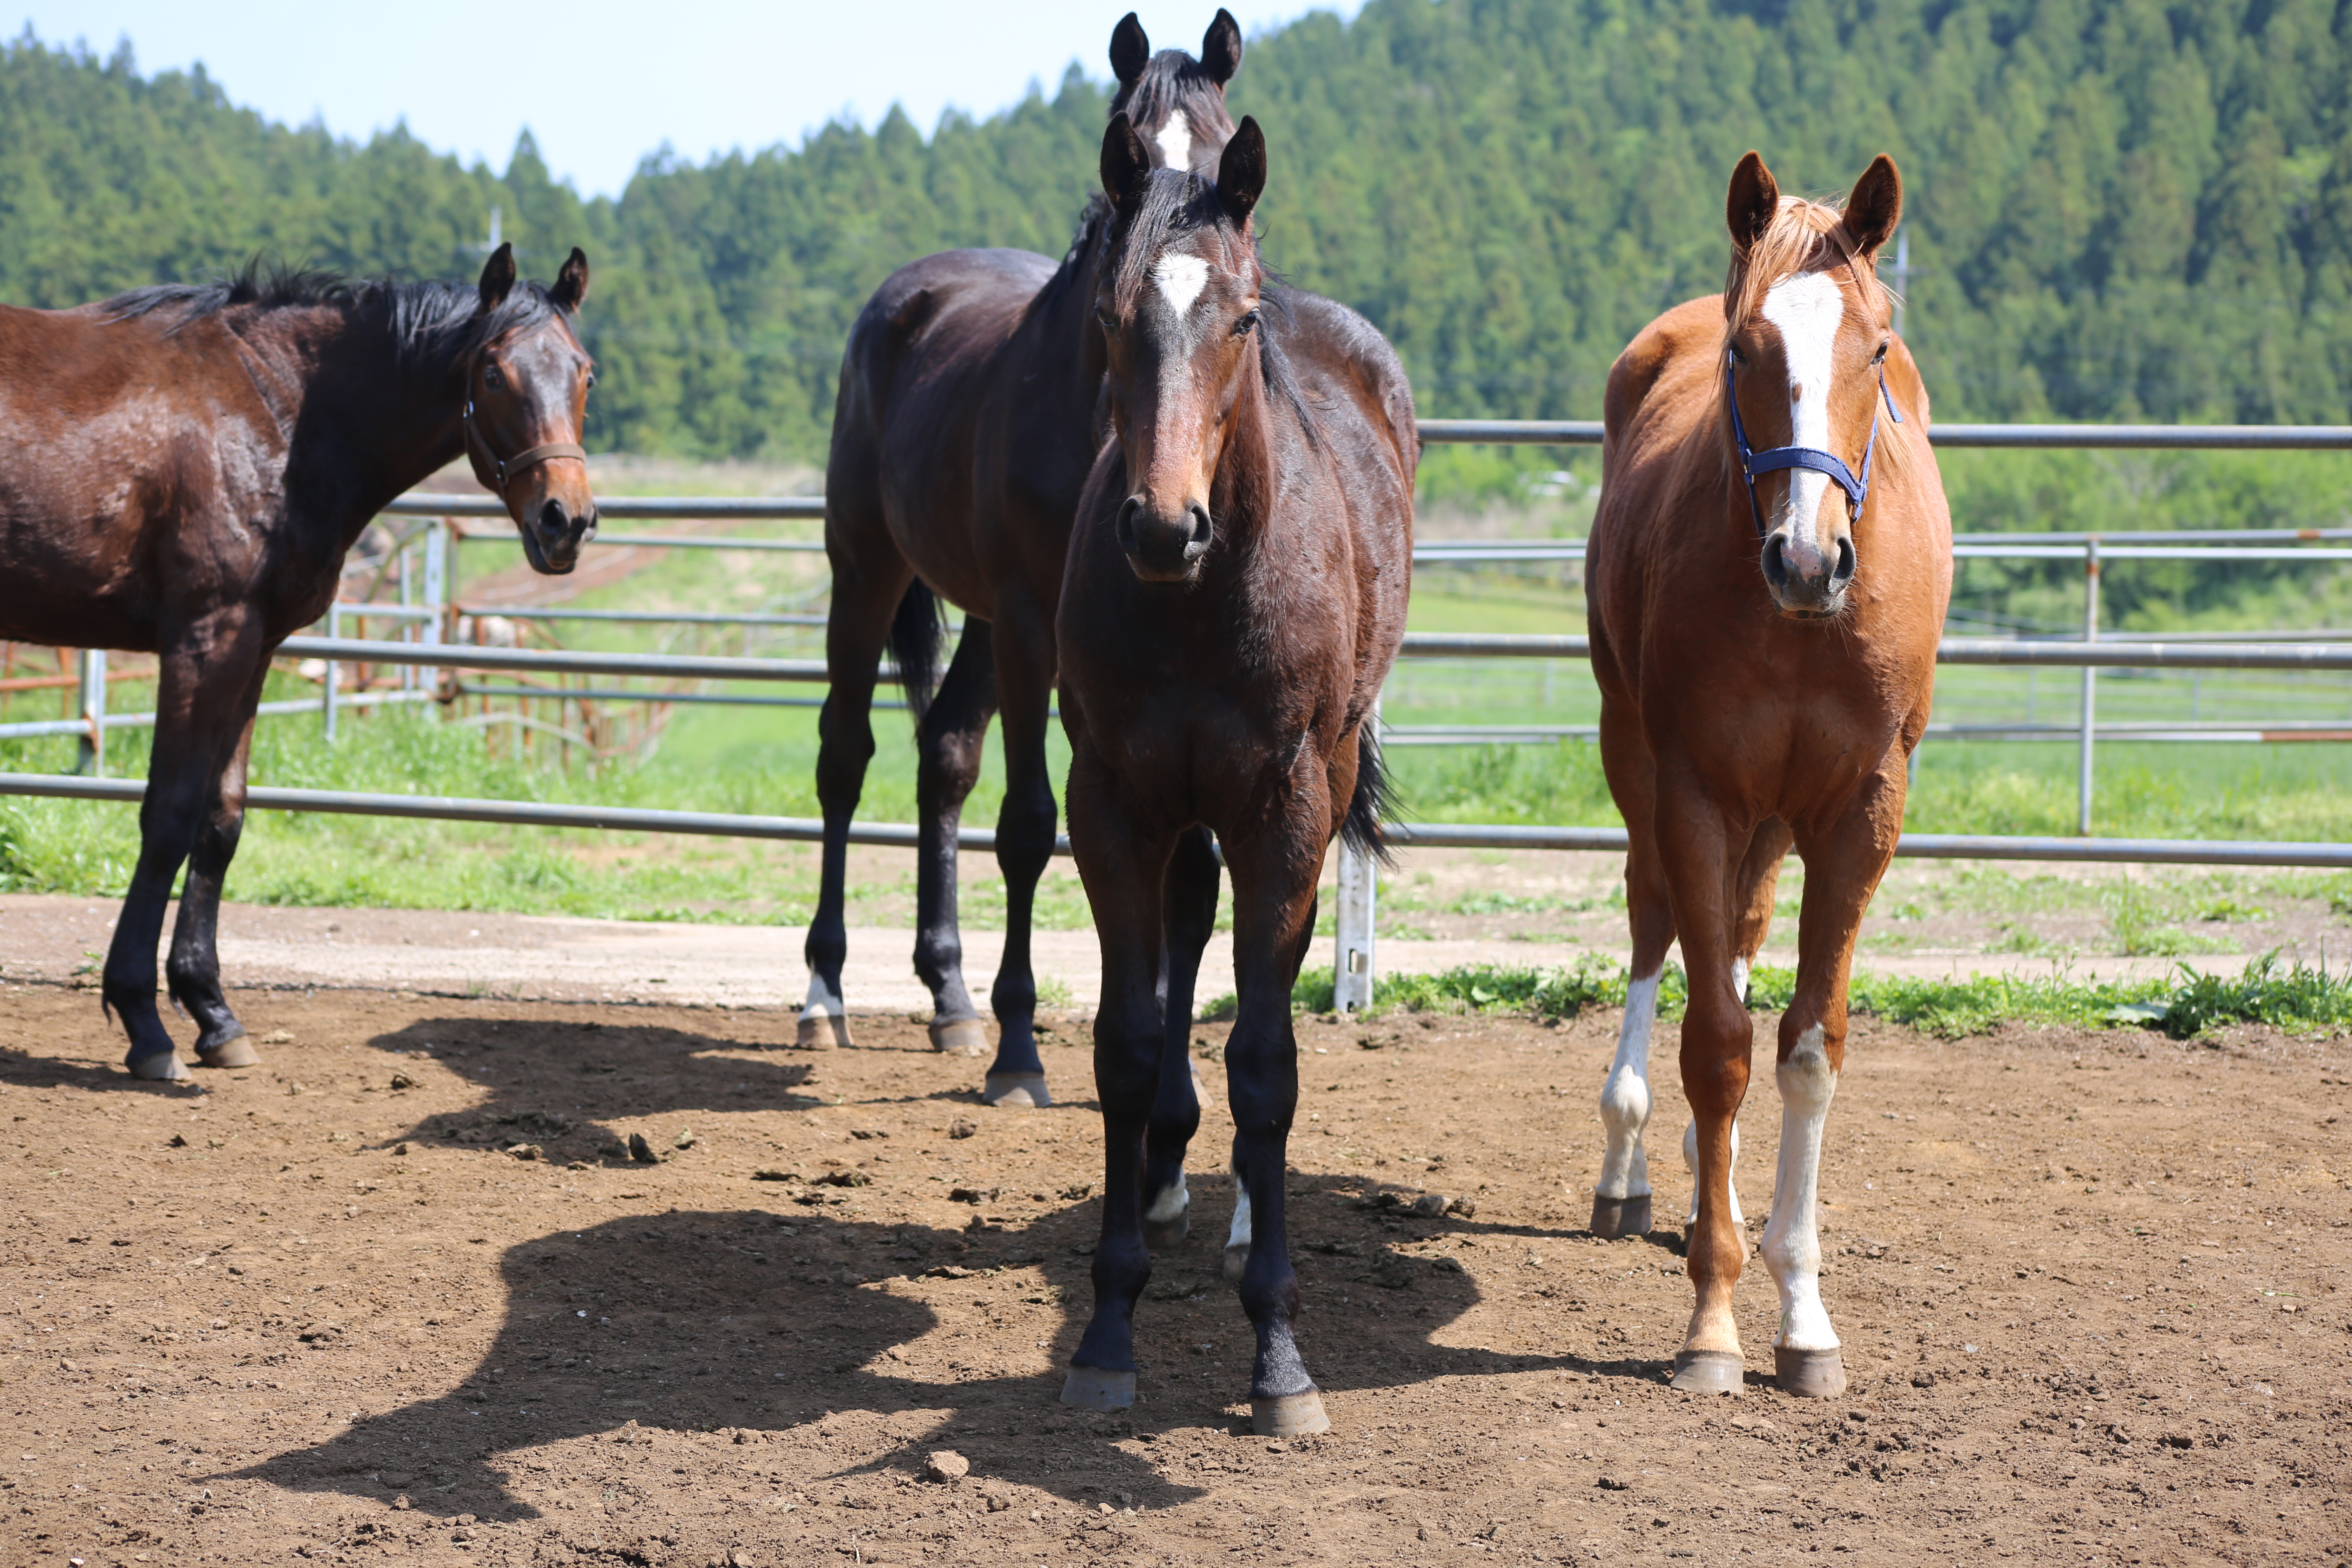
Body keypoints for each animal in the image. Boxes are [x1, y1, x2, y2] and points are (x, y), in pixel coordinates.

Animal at [0, 245, 602, 1081]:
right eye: (491, 373)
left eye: (586, 374)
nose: (564, 522)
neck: (277, 413)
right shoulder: (205, 640)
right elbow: (169, 817)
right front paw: (144, 1023)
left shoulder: (253, 648)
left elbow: (222, 820)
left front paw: (214, 1014)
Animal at [809, 15, 1251, 1114]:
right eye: (1120, 145)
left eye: (1222, 149)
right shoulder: (1027, 624)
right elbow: (1027, 824)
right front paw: (1021, 1053)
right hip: (869, 570)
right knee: (846, 757)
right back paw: (825, 994)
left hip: (976, 620)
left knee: (943, 757)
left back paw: (949, 996)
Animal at [1054, 107, 1411, 1439]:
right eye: (1112, 315)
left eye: (1240, 320)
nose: (1165, 526)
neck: (1202, 601)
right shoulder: (1111, 800)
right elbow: (1124, 1040)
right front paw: (1107, 1329)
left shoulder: (1286, 808)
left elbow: (1266, 1061)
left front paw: (1279, 1355)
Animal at [1590, 156, 1957, 1401]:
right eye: (1746, 350)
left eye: (1877, 349)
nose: (1808, 558)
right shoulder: (1696, 794)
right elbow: (1716, 1045)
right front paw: (1711, 1321)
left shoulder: (1860, 815)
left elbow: (1804, 1049)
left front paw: (1802, 1314)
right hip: (1634, 758)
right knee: (1656, 928)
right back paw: (1629, 1159)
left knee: (1742, 945)